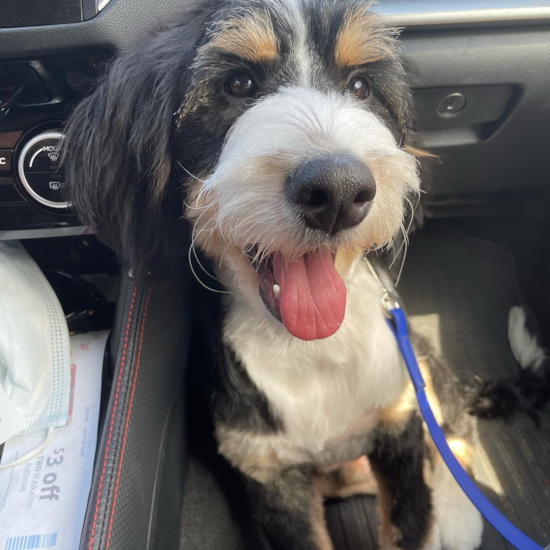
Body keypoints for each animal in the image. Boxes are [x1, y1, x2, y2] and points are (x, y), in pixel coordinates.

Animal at [66, 2, 488, 548]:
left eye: (360, 87)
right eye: (239, 83)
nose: (338, 191)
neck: (312, 351)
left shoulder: (398, 419)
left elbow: (412, 509)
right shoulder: (266, 470)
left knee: (454, 428)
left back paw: (460, 511)